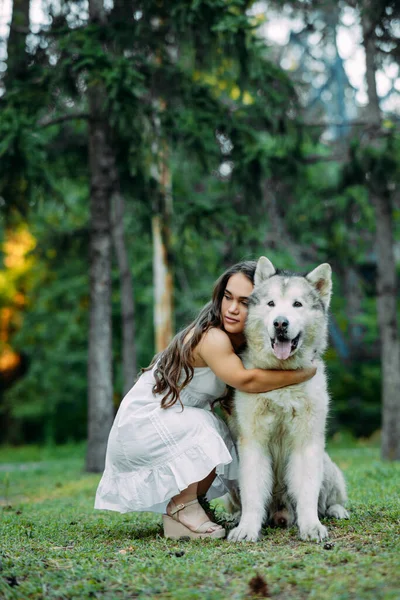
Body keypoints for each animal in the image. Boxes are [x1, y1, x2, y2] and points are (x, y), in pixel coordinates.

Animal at [227, 255, 348, 540]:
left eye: (297, 304)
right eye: (271, 304)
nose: (280, 323)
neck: (280, 379)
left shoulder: (307, 443)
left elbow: (307, 493)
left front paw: (311, 526)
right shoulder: (253, 443)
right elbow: (252, 496)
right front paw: (246, 528)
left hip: (326, 463)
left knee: (329, 498)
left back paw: (336, 510)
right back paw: (237, 517)